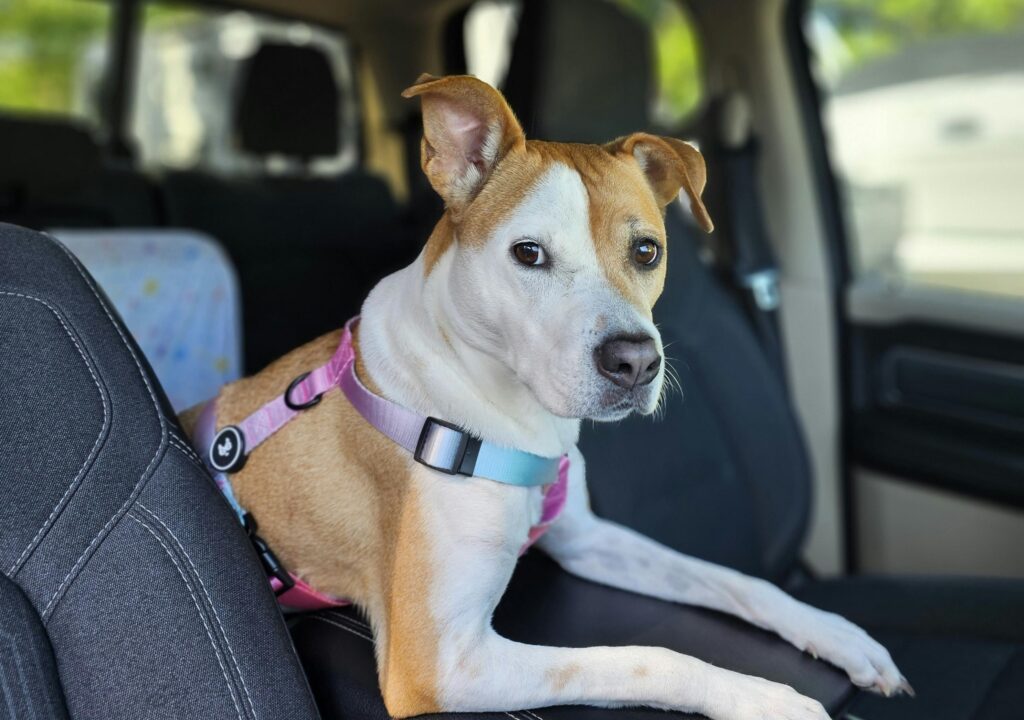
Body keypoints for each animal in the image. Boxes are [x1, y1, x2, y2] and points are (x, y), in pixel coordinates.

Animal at [180, 74, 909, 720]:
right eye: (528, 254)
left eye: (647, 251)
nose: (635, 361)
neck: (499, 412)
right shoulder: (441, 663)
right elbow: (643, 657)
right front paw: (761, 698)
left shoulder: (588, 540)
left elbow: (733, 579)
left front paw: (839, 634)